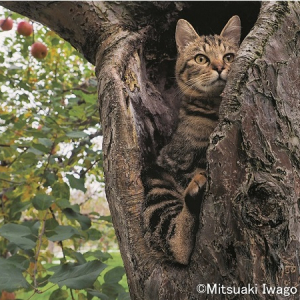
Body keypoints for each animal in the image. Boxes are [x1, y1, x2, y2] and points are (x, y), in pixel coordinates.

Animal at [142, 16, 243, 264]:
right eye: (201, 58)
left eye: (229, 57)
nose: (220, 67)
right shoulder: (178, 159)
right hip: (156, 184)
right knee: (175, 244)